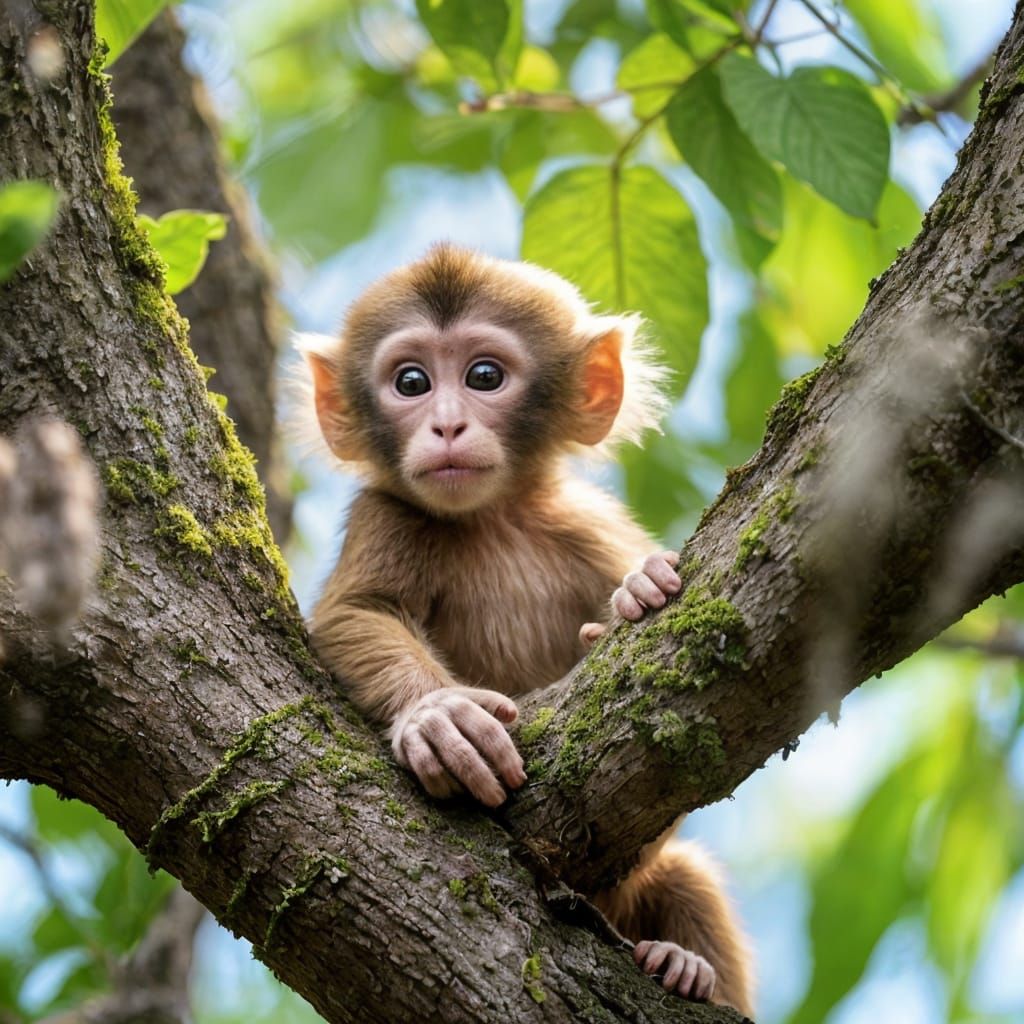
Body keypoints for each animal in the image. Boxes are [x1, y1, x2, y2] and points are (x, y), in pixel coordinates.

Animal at [301, 243, 754, 1016]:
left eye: (485, 376)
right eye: (411, 382)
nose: (447, 426)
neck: (492, 518)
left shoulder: (585, 525)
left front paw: (637, 589)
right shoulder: (385, 513)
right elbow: (353, 613)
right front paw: (438, 715)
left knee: (685, 875)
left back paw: (680, 964)